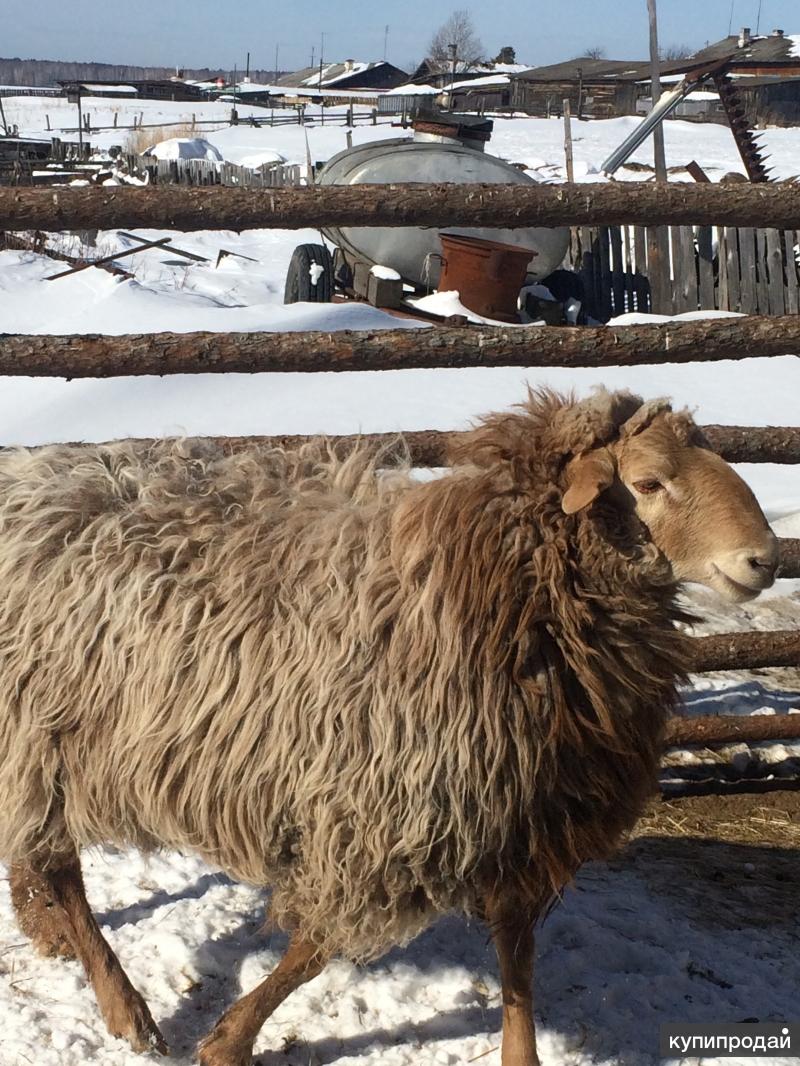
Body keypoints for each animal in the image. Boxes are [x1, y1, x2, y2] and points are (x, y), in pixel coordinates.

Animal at [0, 392, 780, 1066]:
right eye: (648, 483)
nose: (765, 559)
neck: (498, 587)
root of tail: (30, 474)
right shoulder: (381, 814)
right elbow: (313, 950)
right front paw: (228, 1040)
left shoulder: (518, 817)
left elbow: (518, 956)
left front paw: (520, 1053)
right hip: (41, 735)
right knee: (59, 865)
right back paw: (124, 1006)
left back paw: (51, 935)